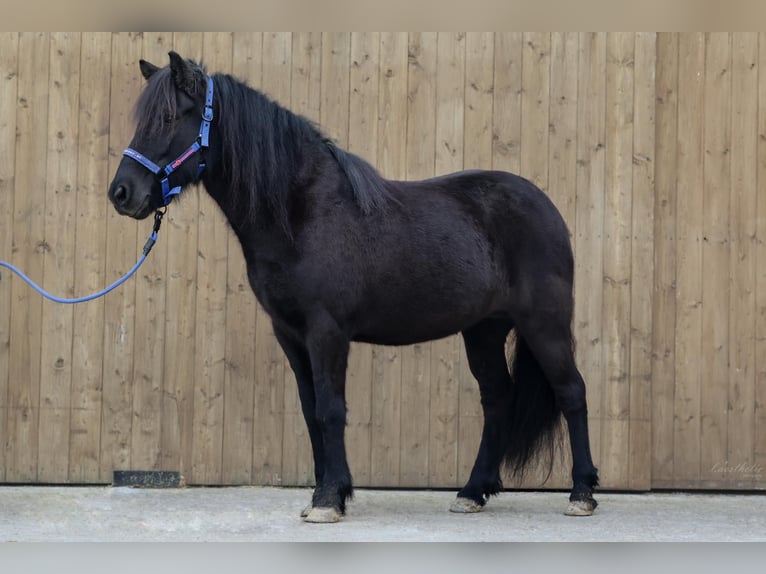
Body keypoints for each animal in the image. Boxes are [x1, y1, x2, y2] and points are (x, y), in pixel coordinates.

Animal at [108, 51, 599, 523]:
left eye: (169, 117)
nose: (121, 193)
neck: (302, 212)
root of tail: (547, 208)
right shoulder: (290, 334)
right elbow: (311, 412)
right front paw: (326, 494)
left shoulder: (327, 331)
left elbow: (331, 410)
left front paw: (328, 500)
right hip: (484, 329)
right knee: (497, 398)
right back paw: (472, 493)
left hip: (544, 324)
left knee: (572, 392)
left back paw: (581, 494)